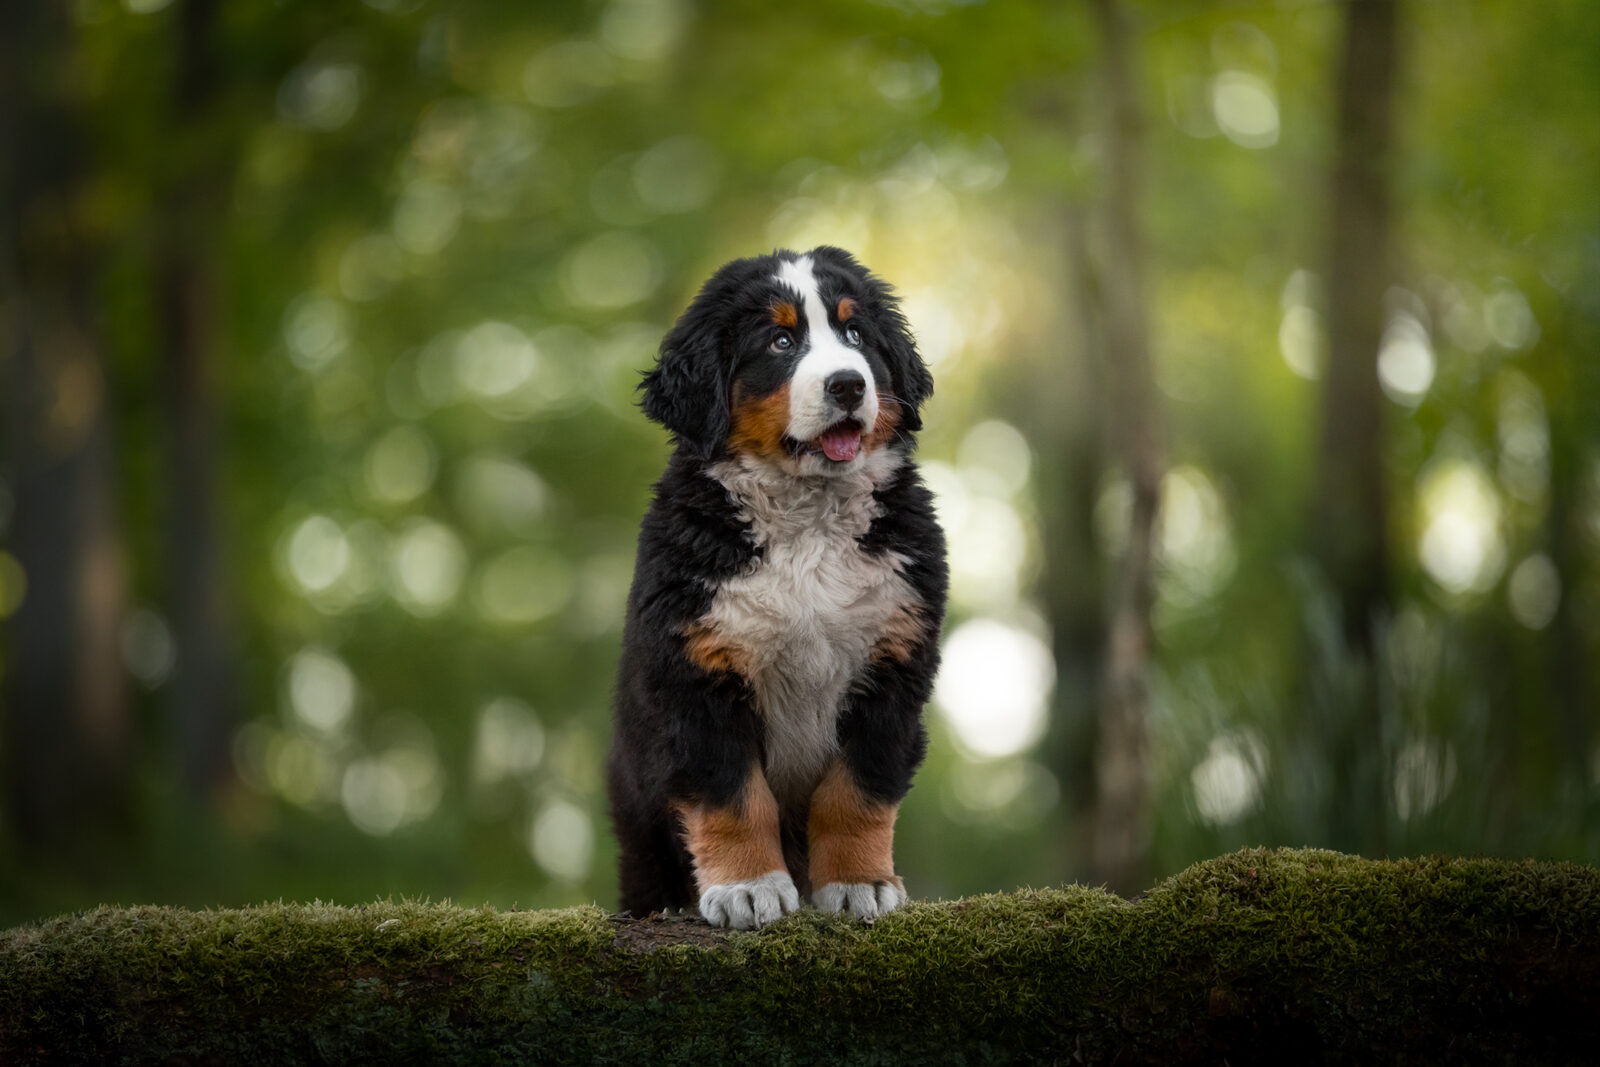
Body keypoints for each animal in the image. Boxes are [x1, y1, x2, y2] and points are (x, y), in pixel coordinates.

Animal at [604, 244, 940, 927]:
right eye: (781, 341)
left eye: (855, 335)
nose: (848, 384)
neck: (807, 520)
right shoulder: (695, 669)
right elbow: (732, 795)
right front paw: (747, 885)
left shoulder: (895, 661)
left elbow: (856, 791)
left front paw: (861, 883)